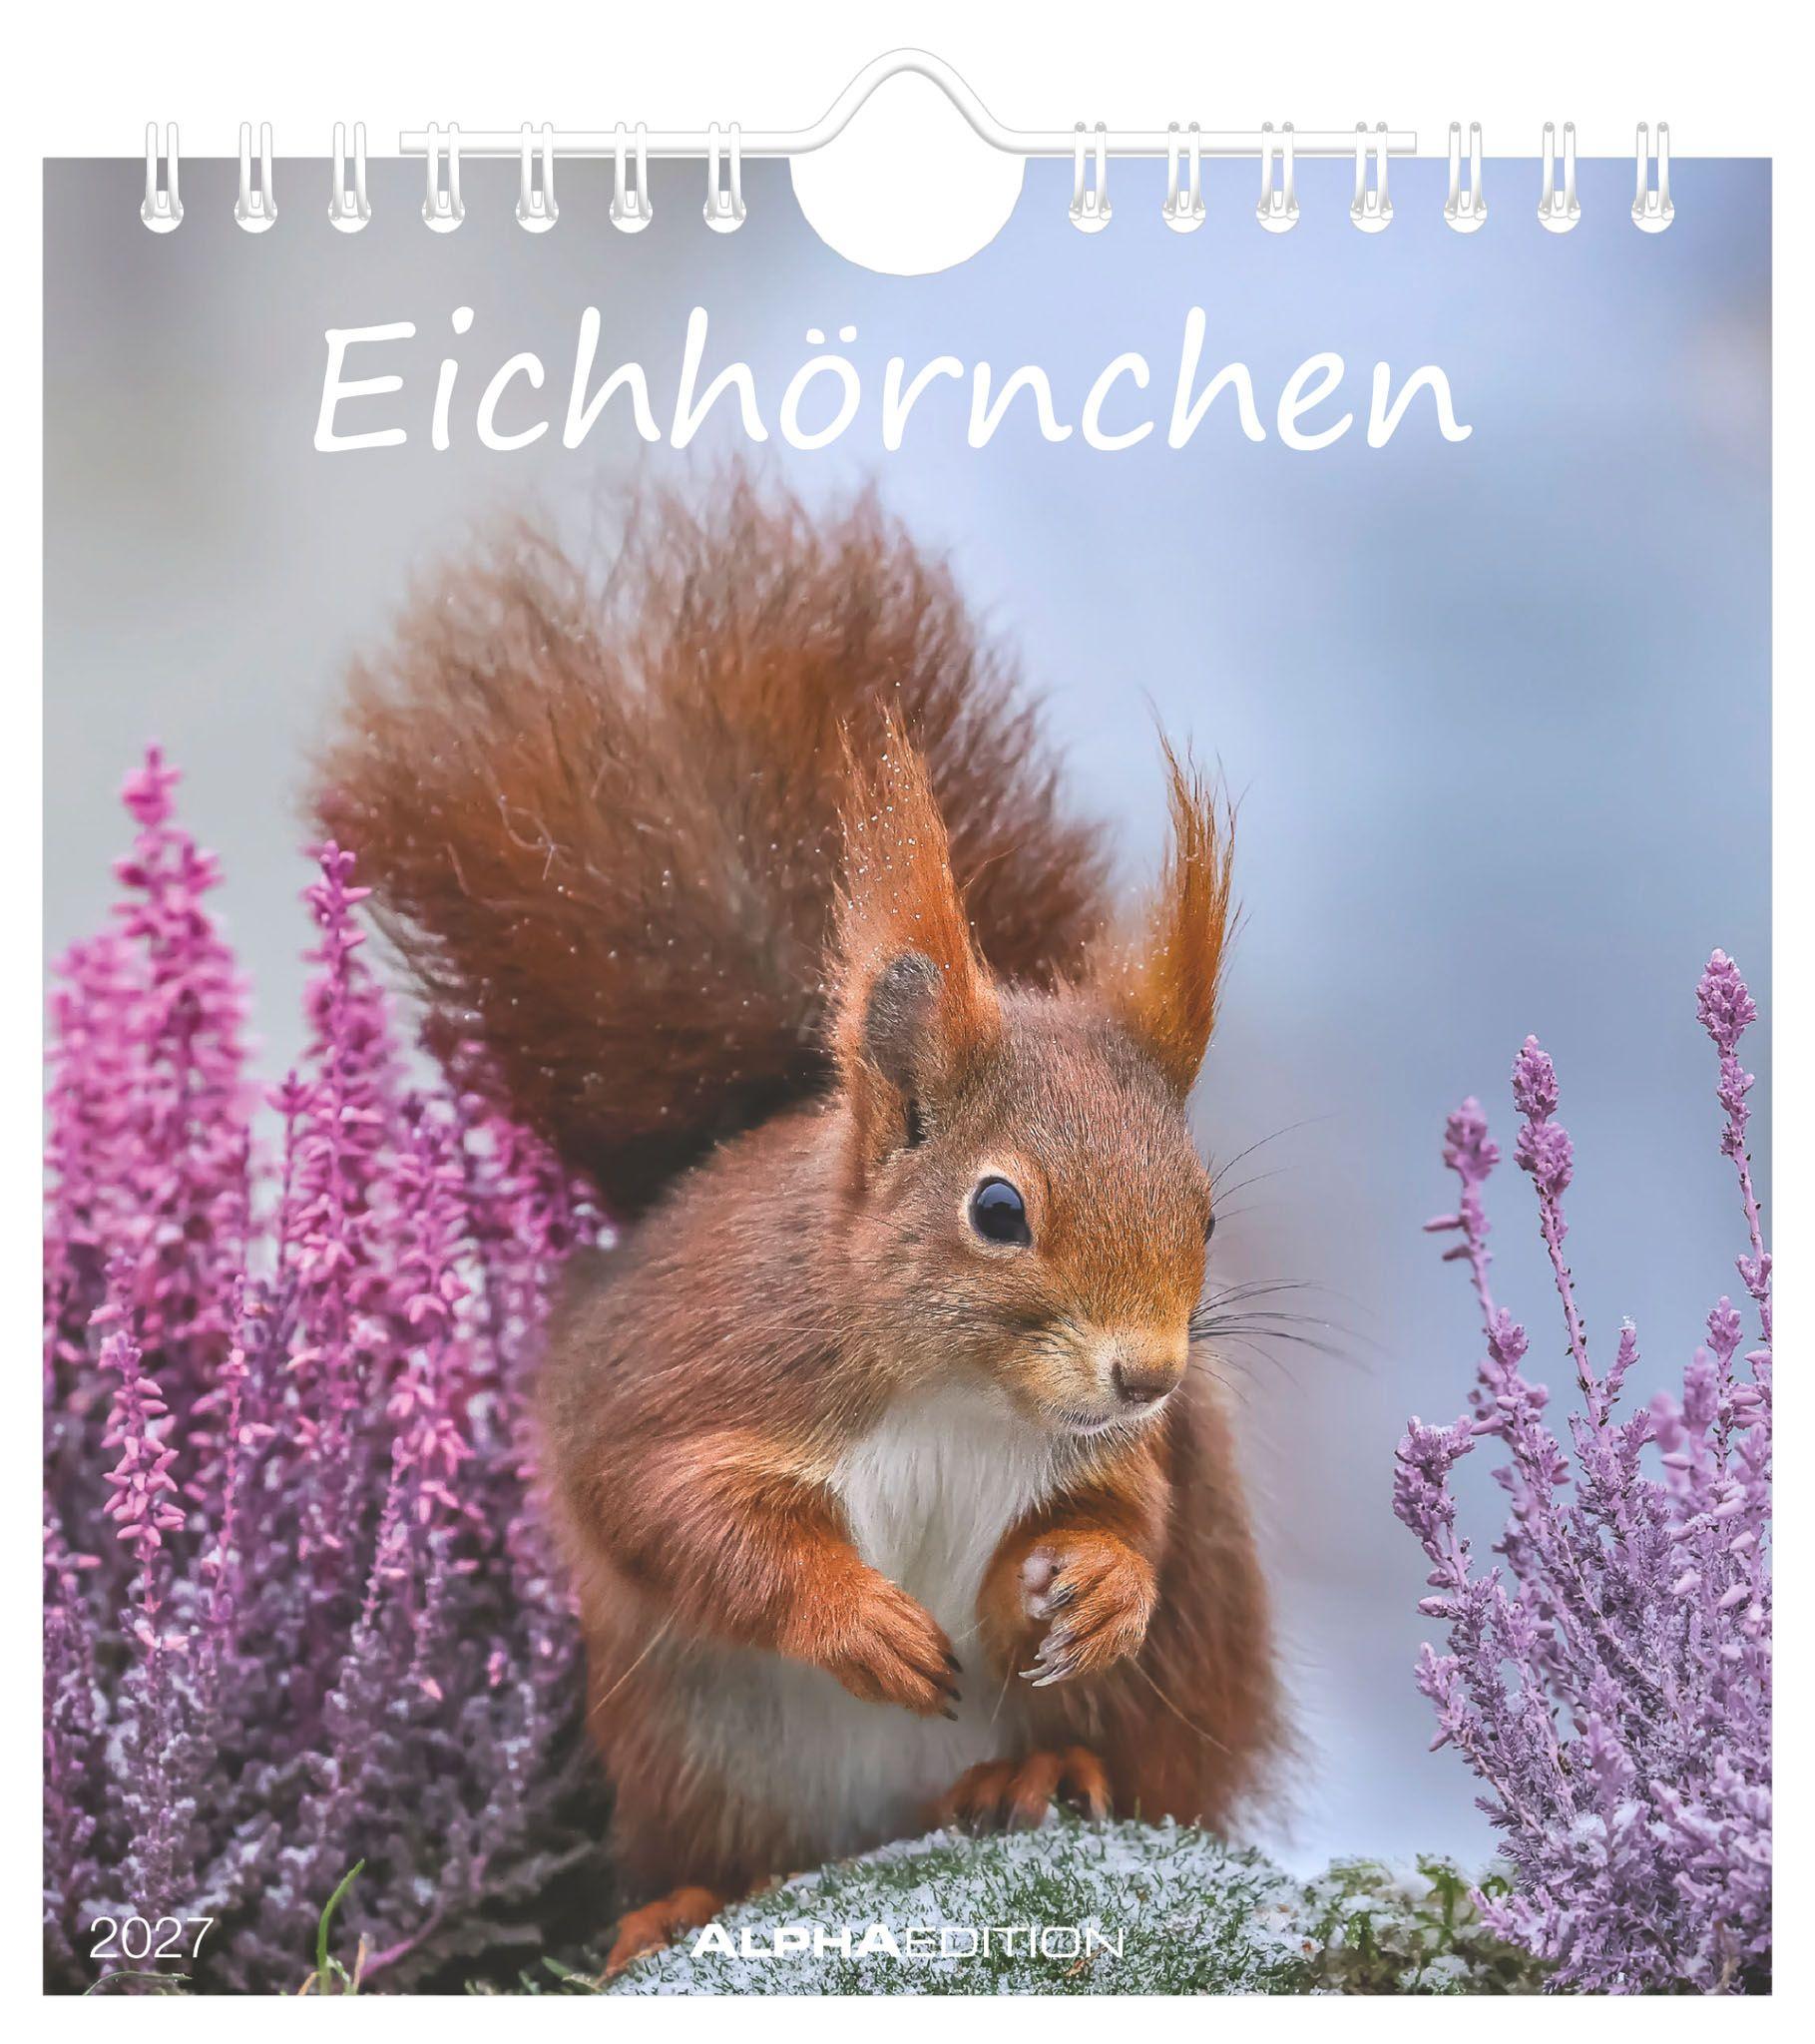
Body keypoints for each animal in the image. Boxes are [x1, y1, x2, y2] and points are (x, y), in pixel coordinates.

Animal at [317, 477, 1280, 1977]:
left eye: (1207, 1208)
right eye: (996, 1208)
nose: (1147, 1373)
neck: (958, 1393)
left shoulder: (1119, 1452)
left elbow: (1130, 1506)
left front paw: (1095, 1583)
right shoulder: (694, 1370)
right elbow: (674, 1509)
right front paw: (859, 1620)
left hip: (1184, 1659)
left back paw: (1039, 1771)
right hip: (693, 1745)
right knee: (726, 1842)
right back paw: (680, 1905)